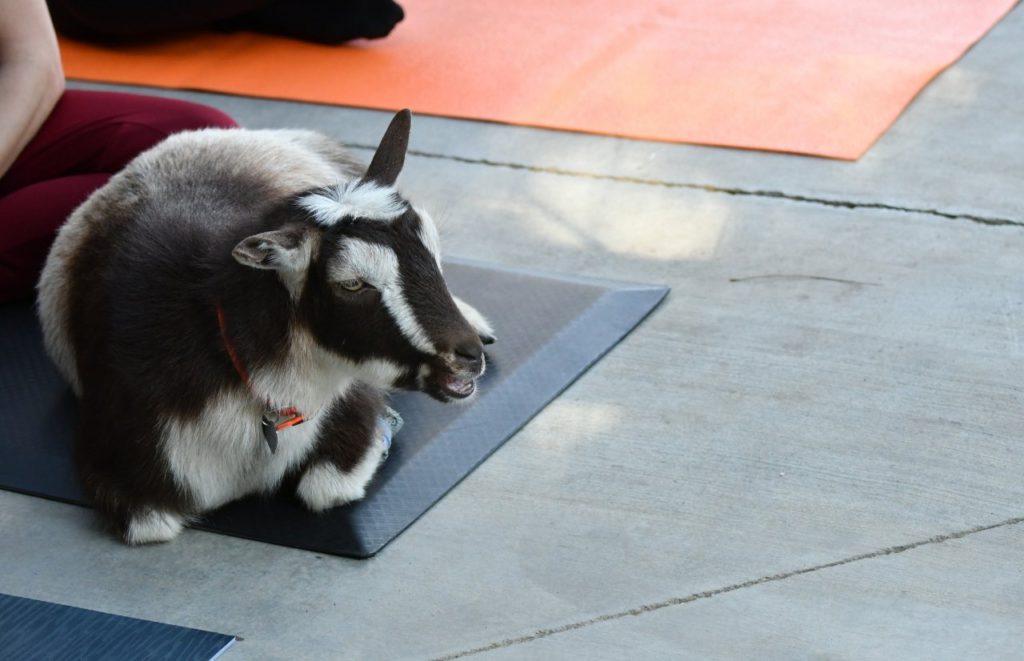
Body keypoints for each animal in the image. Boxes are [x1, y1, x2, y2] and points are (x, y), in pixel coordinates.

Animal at [41, 111, 497, 548]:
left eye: (433, 255)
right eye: (352, 284)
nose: (467, 356)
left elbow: (326, 488)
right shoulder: (121, 472)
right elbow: (152, 527)